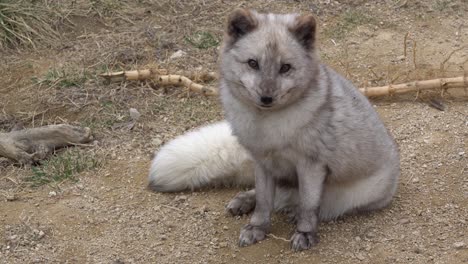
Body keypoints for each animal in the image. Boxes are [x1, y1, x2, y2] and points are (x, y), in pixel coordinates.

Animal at [149, 8, 398, 252]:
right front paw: (257, 227)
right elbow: (263, 201)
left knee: (307, 205)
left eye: (285, 68)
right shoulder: (262, 162)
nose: (266, 98)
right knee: (273, 197)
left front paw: (305, 233)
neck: (265, 127)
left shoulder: (311, 165)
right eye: (252, 63)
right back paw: (244, 200)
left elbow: (309, 205)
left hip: (353, 196)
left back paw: (294, 213)